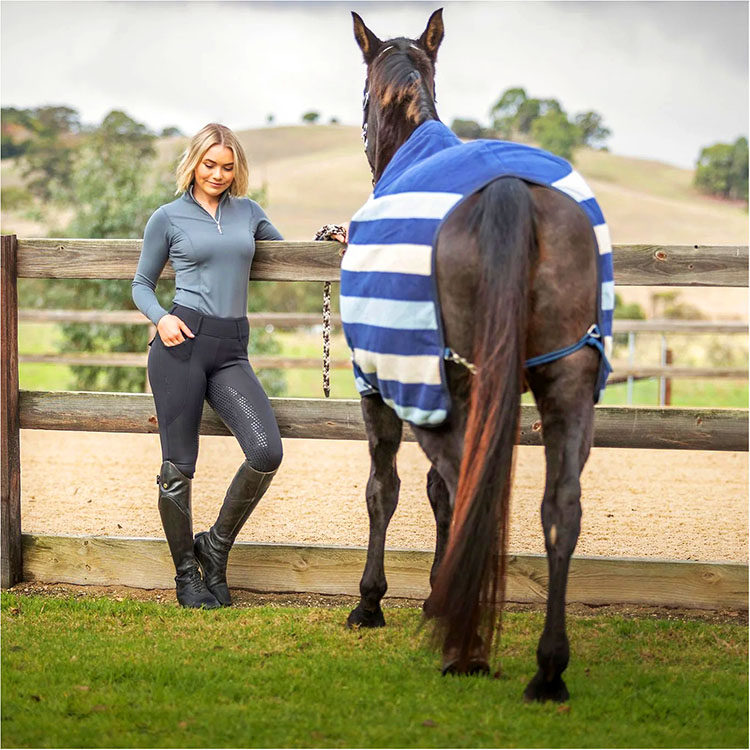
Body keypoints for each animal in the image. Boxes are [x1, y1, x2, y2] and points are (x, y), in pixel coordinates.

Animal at [343, 8, 611, 703]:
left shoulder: (381, 387)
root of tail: (508, 191)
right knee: (560, 507)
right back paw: (548, 669)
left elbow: (386, 488)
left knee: (467, 489)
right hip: (568, 379)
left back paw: (464, 649)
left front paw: (372, 602)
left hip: (453, 388)